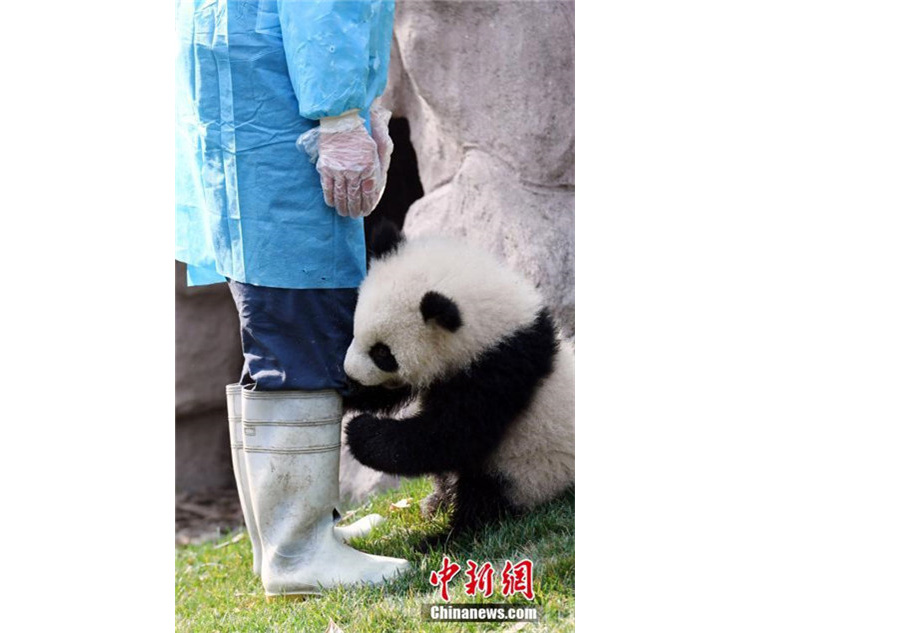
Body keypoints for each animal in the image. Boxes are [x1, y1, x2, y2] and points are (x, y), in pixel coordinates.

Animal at [342, 223, 575, 535]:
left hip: (531, 467)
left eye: (382, 352)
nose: (350, 373)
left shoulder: (500, 371)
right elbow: (390, 394)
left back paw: (445, 534)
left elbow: (450, 435)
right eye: (356, 330)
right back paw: (436, 502)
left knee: (486, 497)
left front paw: (360, 431)